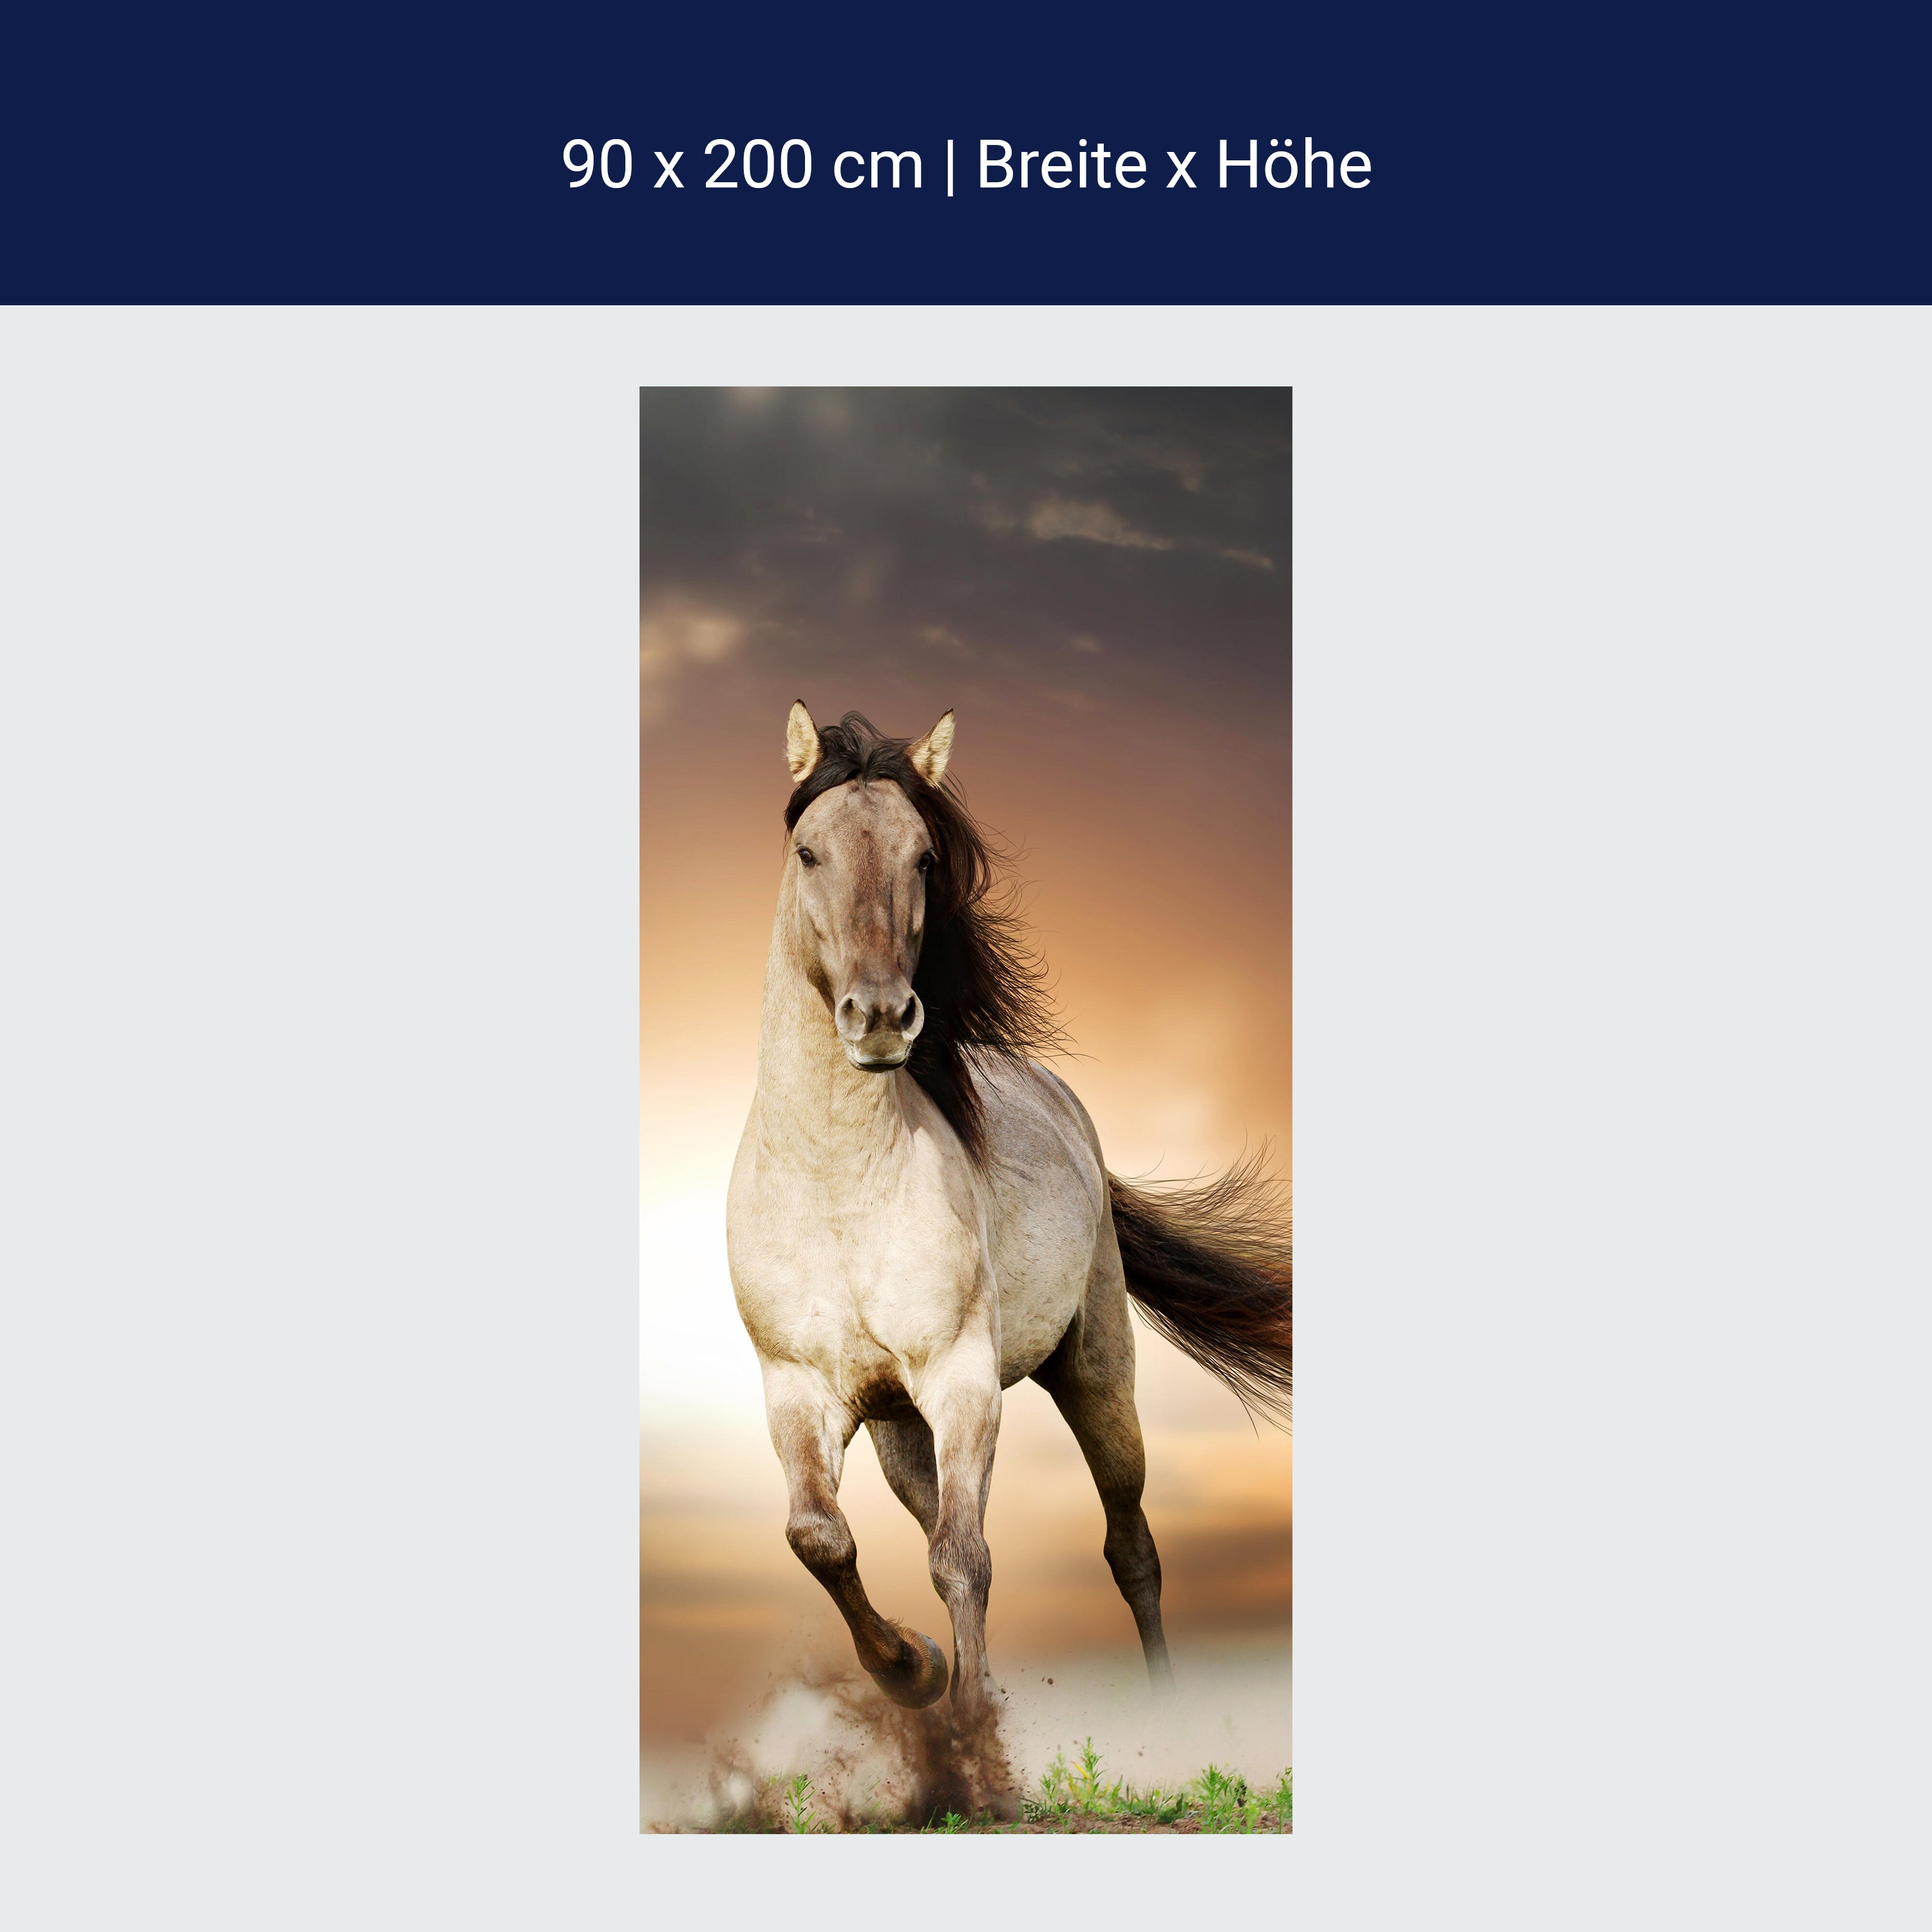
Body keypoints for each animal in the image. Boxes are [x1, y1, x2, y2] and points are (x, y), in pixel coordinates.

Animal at [725, 703, 1292, 1748]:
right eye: (808, 851)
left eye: (923, 857)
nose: (879, 1018)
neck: (835, 1187)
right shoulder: (797, 1389)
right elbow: (822, 1539)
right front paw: (915, 1670)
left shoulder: (961, 1376)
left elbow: (965, 1558)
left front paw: (972, 1737)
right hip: (903, 1428)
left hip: (1094, 1374)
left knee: (1128, 1548)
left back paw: (1165, 1722)